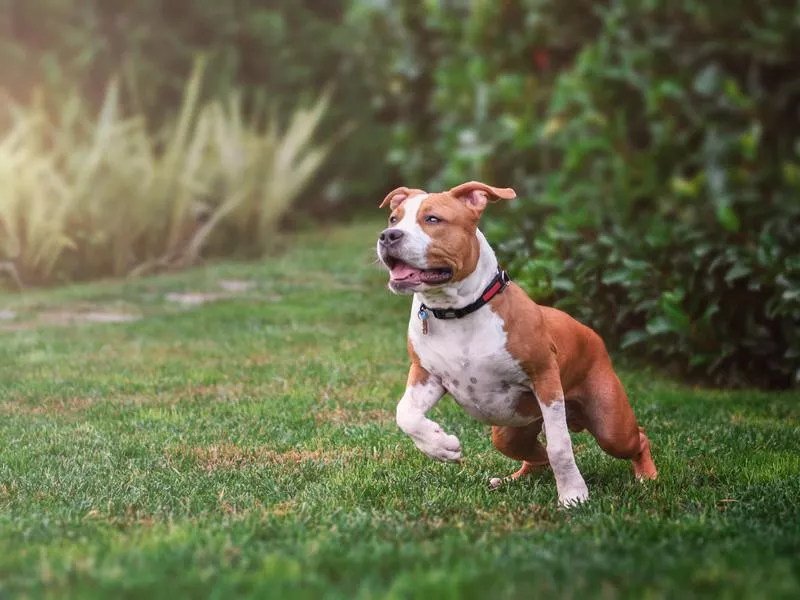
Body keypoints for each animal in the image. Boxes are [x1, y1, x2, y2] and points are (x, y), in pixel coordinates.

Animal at [376, 180, 656, 504]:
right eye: (393, 219)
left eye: (433, 219)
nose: (388, 235)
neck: (458, 311)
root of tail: (590, 332)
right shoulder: (426, 374)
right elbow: (405, 414)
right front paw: (441, 446)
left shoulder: (545, 378)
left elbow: (560, 446)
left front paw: (573, 495)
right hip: (509, 433)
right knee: (536, 455)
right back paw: (512, 480)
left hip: (611, 426)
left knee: (636, 437)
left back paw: (648, 477)